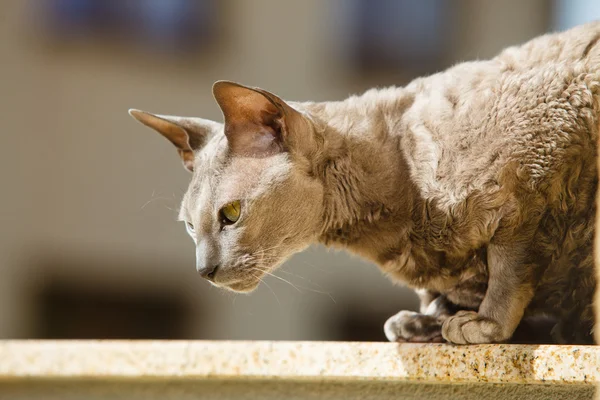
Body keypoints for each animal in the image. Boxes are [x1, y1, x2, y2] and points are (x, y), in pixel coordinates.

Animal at [129, 21, 600, 346]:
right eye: (190, 227)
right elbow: (437, 296)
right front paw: (425, 321)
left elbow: (509, 267)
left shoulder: (534, 171)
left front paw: (486, 323)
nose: (202, 271)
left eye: (230, 214)